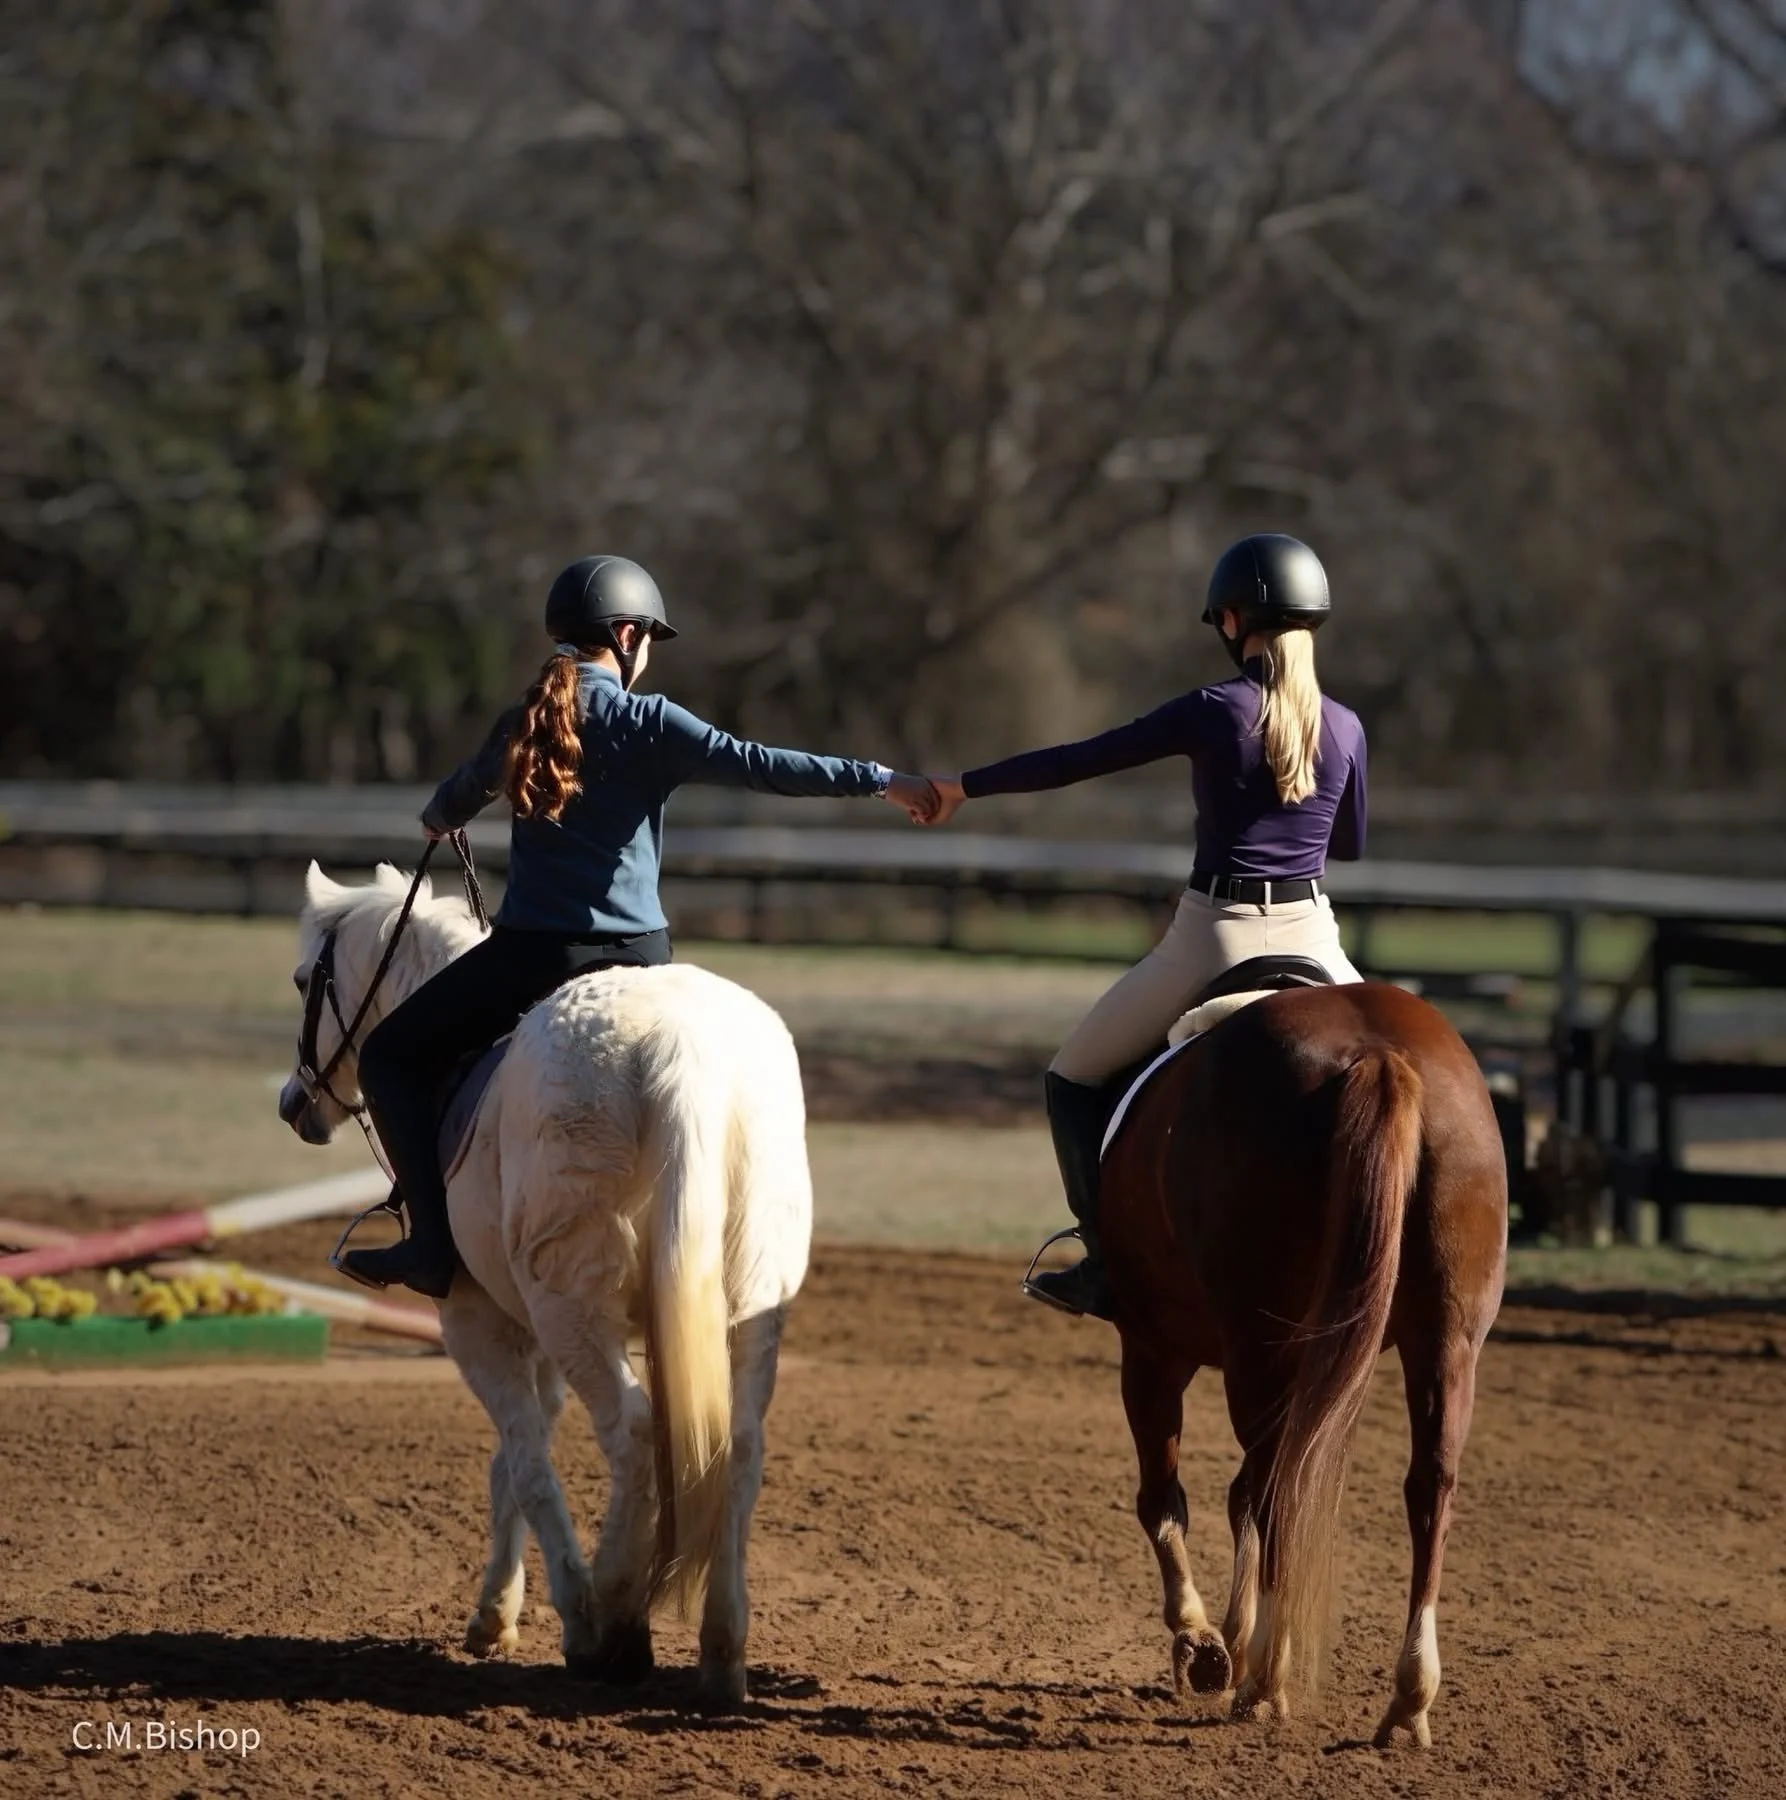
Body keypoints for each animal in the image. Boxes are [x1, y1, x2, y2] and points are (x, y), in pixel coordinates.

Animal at [276, 861, 813, 1710]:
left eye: (305, 979)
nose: (294, 1103)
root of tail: (677, 1047)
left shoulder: (478, 1324)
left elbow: (526, 1461)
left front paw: (569, 1613)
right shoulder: (529, 1334)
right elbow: (512, 1460)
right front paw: (495, 1612)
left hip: (574, 1313)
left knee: (631, 1430)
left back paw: (618, 1613)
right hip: (747, 1310)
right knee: (740, 1448)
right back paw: (722, 1654)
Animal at [1098, 977, 1507, 1747]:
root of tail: (1380, 1056)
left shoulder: (1152, 1346)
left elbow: (1164, 1498)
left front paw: (1200, 1640)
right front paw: (1227, 1636)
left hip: (1257, 1348)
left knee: (1274, 1485)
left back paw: (1266, 1683)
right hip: (1447, 1342)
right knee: (1428, 1488)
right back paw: (1408, 1698)